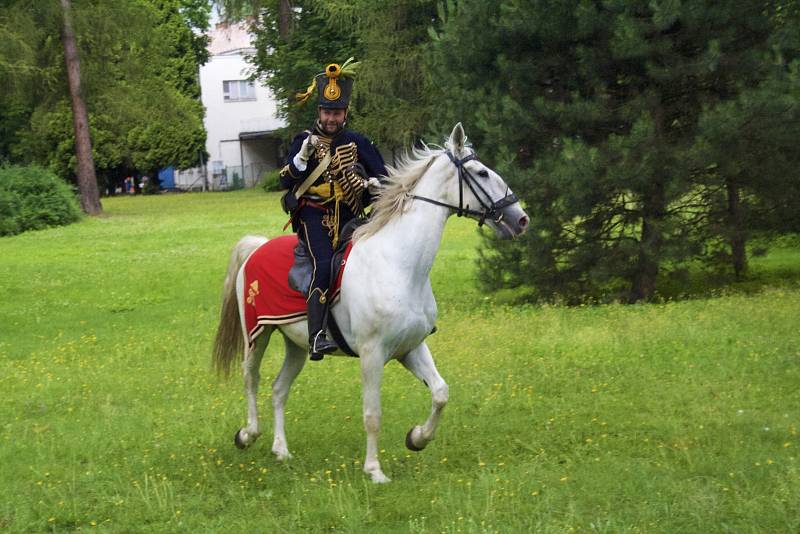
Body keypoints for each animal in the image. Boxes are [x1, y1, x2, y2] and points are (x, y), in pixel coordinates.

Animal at [211, 123, 532, 484]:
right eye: (481, 172)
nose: (521, 218)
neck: (399, 263)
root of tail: (257, 246)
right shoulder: (372, 354)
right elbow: (372, 414)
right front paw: (374, 470)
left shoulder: (411, 347)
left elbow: (440, 393)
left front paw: (417, 438)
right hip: (257, 334)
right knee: (250, 377)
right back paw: (247, 434)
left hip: (296, 343)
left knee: (279, 389)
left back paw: (281, 451)